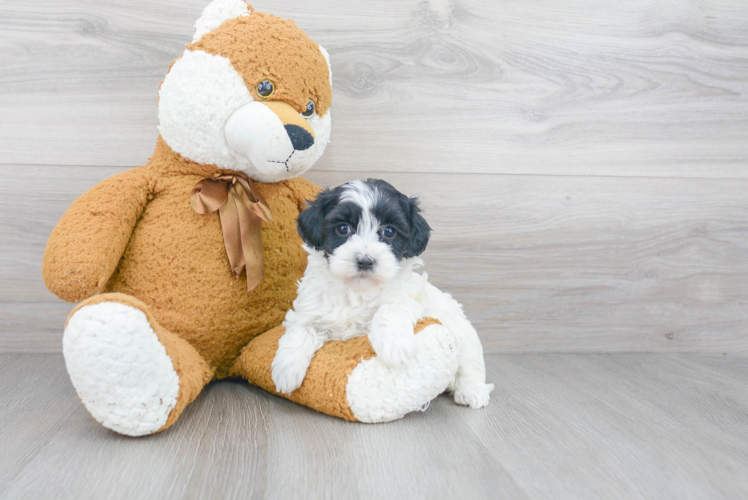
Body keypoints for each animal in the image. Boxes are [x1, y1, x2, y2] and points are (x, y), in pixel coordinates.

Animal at [272, 178, 494, 408]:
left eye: (389, 231)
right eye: (343, 228)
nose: (365, 261)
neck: (357, 289)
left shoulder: (409, 298)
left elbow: (390, 309)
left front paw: (395, 347)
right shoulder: (310, 308)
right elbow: (301, 329)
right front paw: (285, 371)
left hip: (462, 334)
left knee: (470, 364)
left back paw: (471, 391)